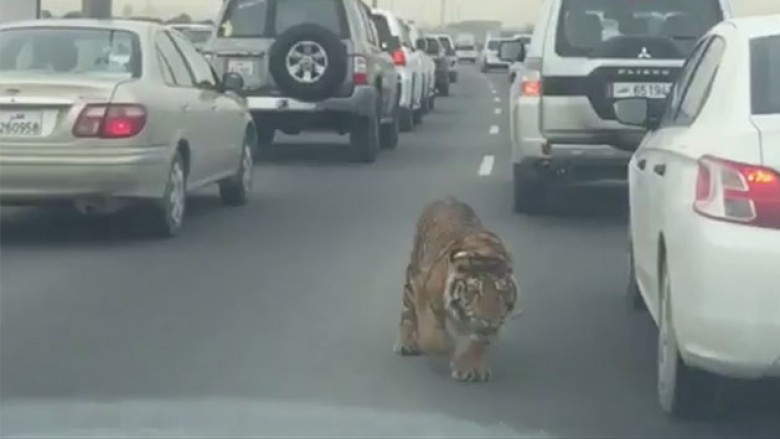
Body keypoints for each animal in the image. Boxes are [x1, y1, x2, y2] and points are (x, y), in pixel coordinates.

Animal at [394, 198, 520, 384]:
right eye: (476, 291)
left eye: (500, 293)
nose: (490, 319)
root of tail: (446, 199)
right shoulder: (423, 289)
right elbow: (430, 330)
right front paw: (443, 348)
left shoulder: (483, 327)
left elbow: (477, 342)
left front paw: (471, 368)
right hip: (413, 275)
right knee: (408, 312)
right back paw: (406, 343)